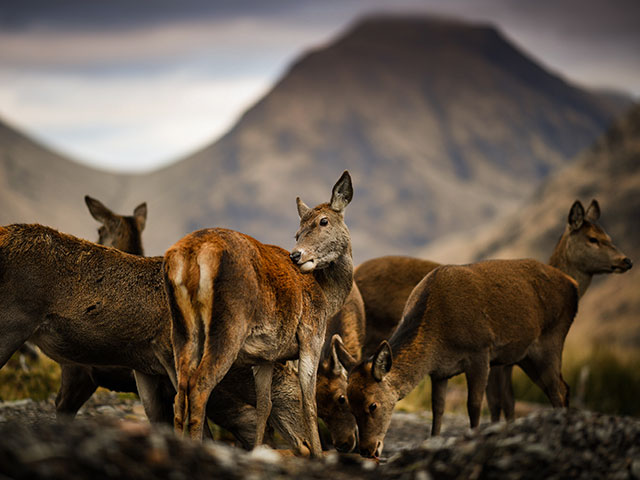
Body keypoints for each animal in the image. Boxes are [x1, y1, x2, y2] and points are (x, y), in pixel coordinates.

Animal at [164, 171, 356, 456]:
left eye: (323, 221)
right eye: (298, 231)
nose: (296, 256)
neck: (326, 296)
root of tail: (190, 254)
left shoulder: (265, 355)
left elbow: (264, 405)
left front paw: (258, 449)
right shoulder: (311, 335)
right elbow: (309, 403)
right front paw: (319, 454)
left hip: (181, 327)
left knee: (180, 391)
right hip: (229, 324)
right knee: (200, 387)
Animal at [344, 200, 632, 462]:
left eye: (372, 405)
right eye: (350, 404)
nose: (367, 450)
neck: (438, 334)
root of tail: (572, 285)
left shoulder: (482, 353)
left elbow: (478, 405)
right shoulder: (444, 371)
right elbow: (440, 409)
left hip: (551, 341)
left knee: (560, 389)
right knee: (561, 388)